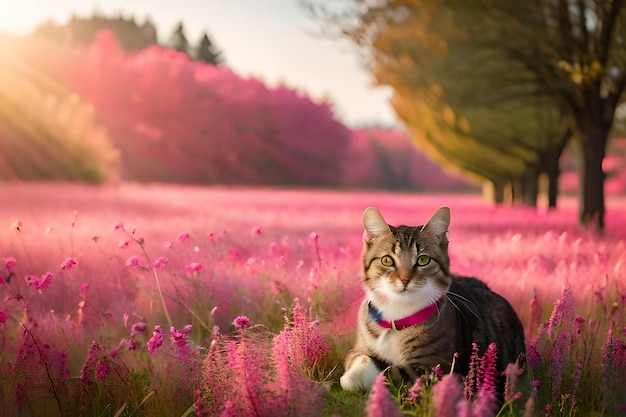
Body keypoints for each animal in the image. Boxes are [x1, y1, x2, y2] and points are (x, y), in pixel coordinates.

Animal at [338, 206, 524, 398]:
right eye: (387, 260)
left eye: (423, 259)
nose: (405, 280)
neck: (397, 316)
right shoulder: (358, 347)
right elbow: (357, 356)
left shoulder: (440, 367)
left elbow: (394, 371)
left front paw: (353, 378)